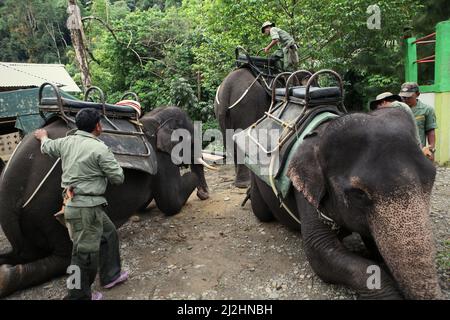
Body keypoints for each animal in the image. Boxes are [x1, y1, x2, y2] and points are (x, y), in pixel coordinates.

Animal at [0, 105, 213, 298]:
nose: (204, 195)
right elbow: (170, 204)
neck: (153, 118)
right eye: (191, 138)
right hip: (47, 209)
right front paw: (193, 181)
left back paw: (5, 274)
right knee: (65, 256)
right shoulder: (162, 159)